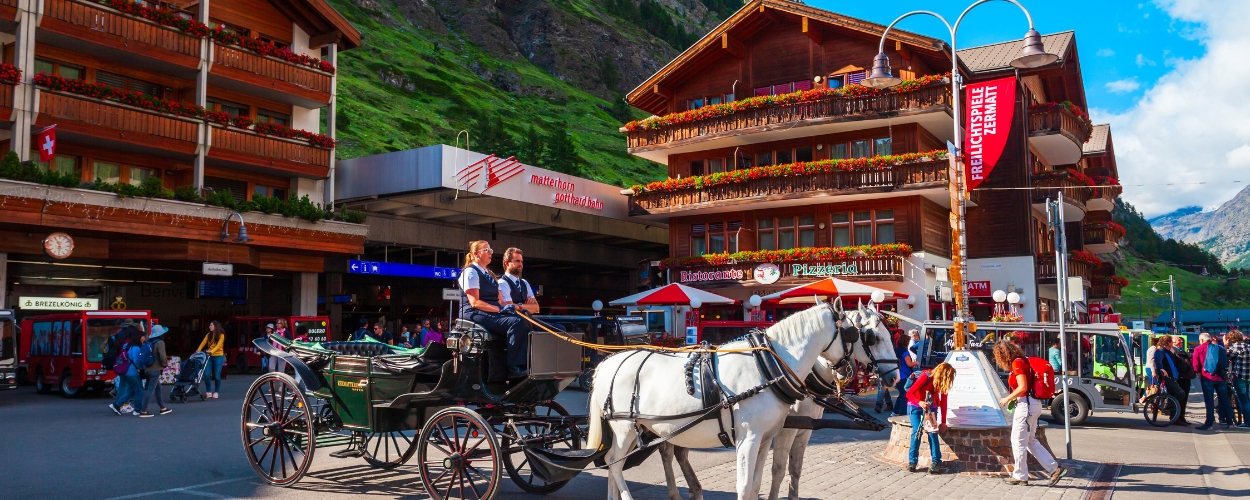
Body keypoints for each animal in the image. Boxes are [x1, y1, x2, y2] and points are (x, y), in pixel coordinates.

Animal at [585, 305, 900, 500]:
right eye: (869, 336)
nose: (895, 376)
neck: (770, 367)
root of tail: (609, 361)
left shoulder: (768, 437)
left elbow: (763, 481)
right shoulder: (749, 438)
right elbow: (747, 484)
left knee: (621, 462)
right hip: (625, 427)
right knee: (614, 464)